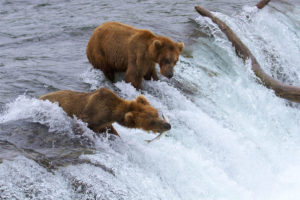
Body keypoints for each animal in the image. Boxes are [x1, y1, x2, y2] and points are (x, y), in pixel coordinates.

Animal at [39, 87, 171, 136]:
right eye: (151, 122)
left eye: (156, 113)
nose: (167, 125)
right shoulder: (89, 116)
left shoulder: (106, 124)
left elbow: (113, 131)